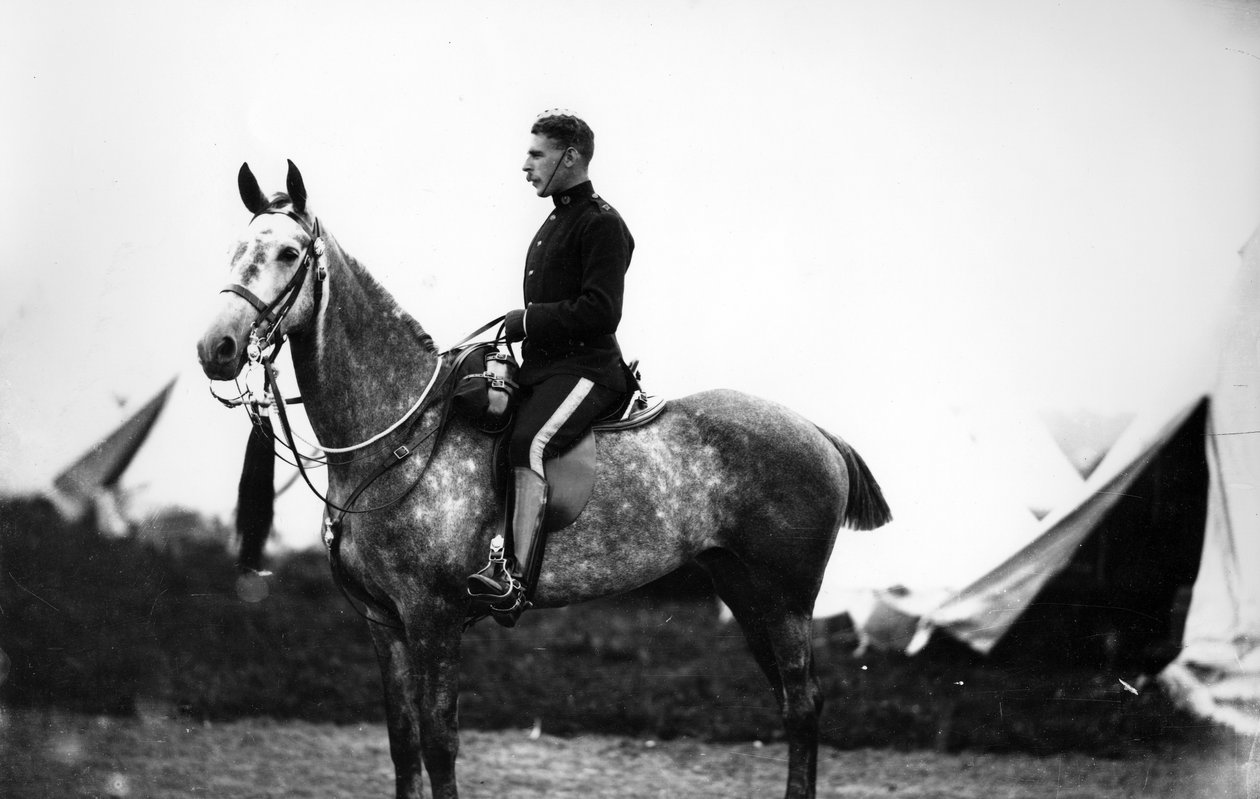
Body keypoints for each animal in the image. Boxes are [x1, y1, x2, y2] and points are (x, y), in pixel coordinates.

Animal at [196, 161, 892, 796]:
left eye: (289, 253)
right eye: (235, 249)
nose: (216, 348)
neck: (395, 433)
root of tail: (817, 434)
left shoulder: (432, 619)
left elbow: (439, 743)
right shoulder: (382, 623)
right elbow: (402, 744)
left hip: (786, 601)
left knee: (802, 704)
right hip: (746, 593)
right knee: (791, 701)